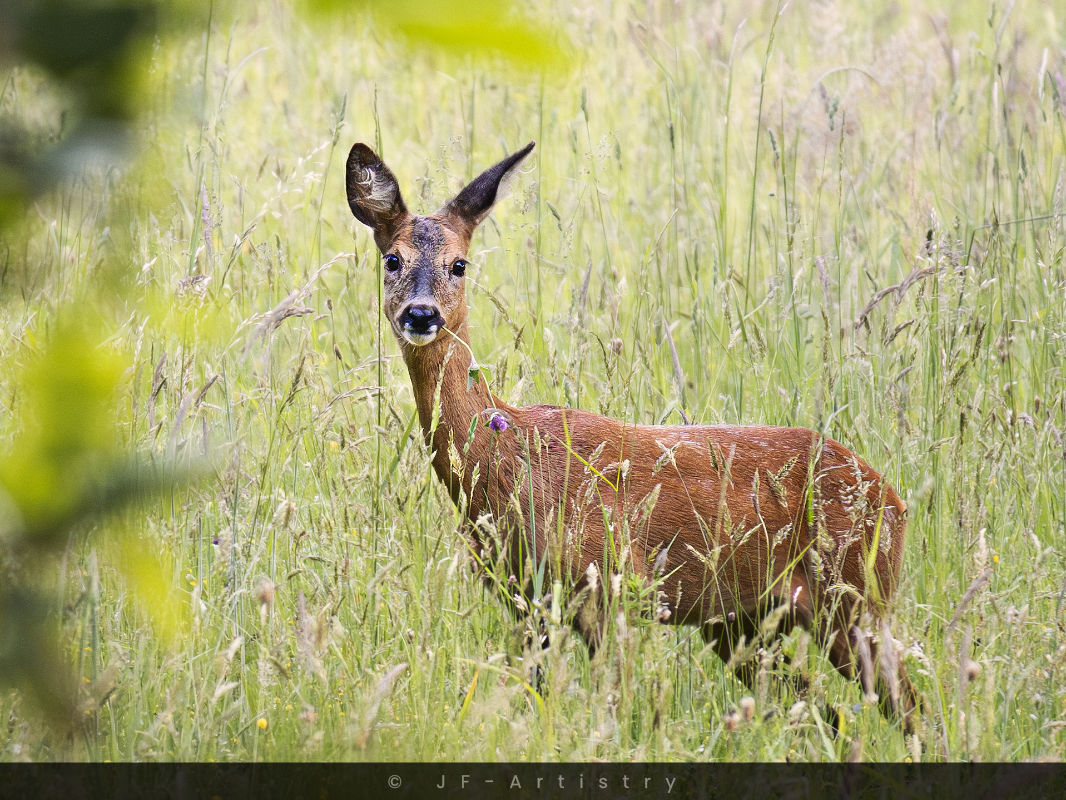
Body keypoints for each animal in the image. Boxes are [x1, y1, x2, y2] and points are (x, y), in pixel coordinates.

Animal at [345, 139, 921, 738]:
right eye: (392, 259)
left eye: (459, 264)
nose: (421, 314)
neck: (507, 464)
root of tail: (893, 498)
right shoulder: (525, 601)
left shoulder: (613, 587)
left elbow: (613, 710)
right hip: (744, 622)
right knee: (827, 713)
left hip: (854, 596)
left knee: (910, 708)